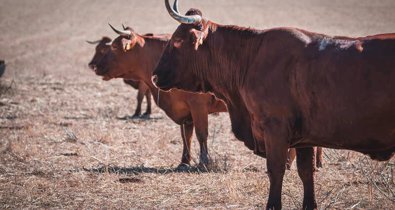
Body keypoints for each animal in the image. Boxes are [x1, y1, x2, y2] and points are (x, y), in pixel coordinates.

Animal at [88, 25, 227, 168]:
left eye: (114, 46)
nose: (95, 67)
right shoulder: (185, 113)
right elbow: (186, 136)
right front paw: (184, 161)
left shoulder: (198, 107)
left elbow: (201, 134)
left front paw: (203, 162)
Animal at [153, 0, 395, 209]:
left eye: (177, 41)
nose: (155, 76)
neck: (250, 58)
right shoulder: (305, 139)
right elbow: (306, 173)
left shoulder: (275, 130)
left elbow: (276, 170)